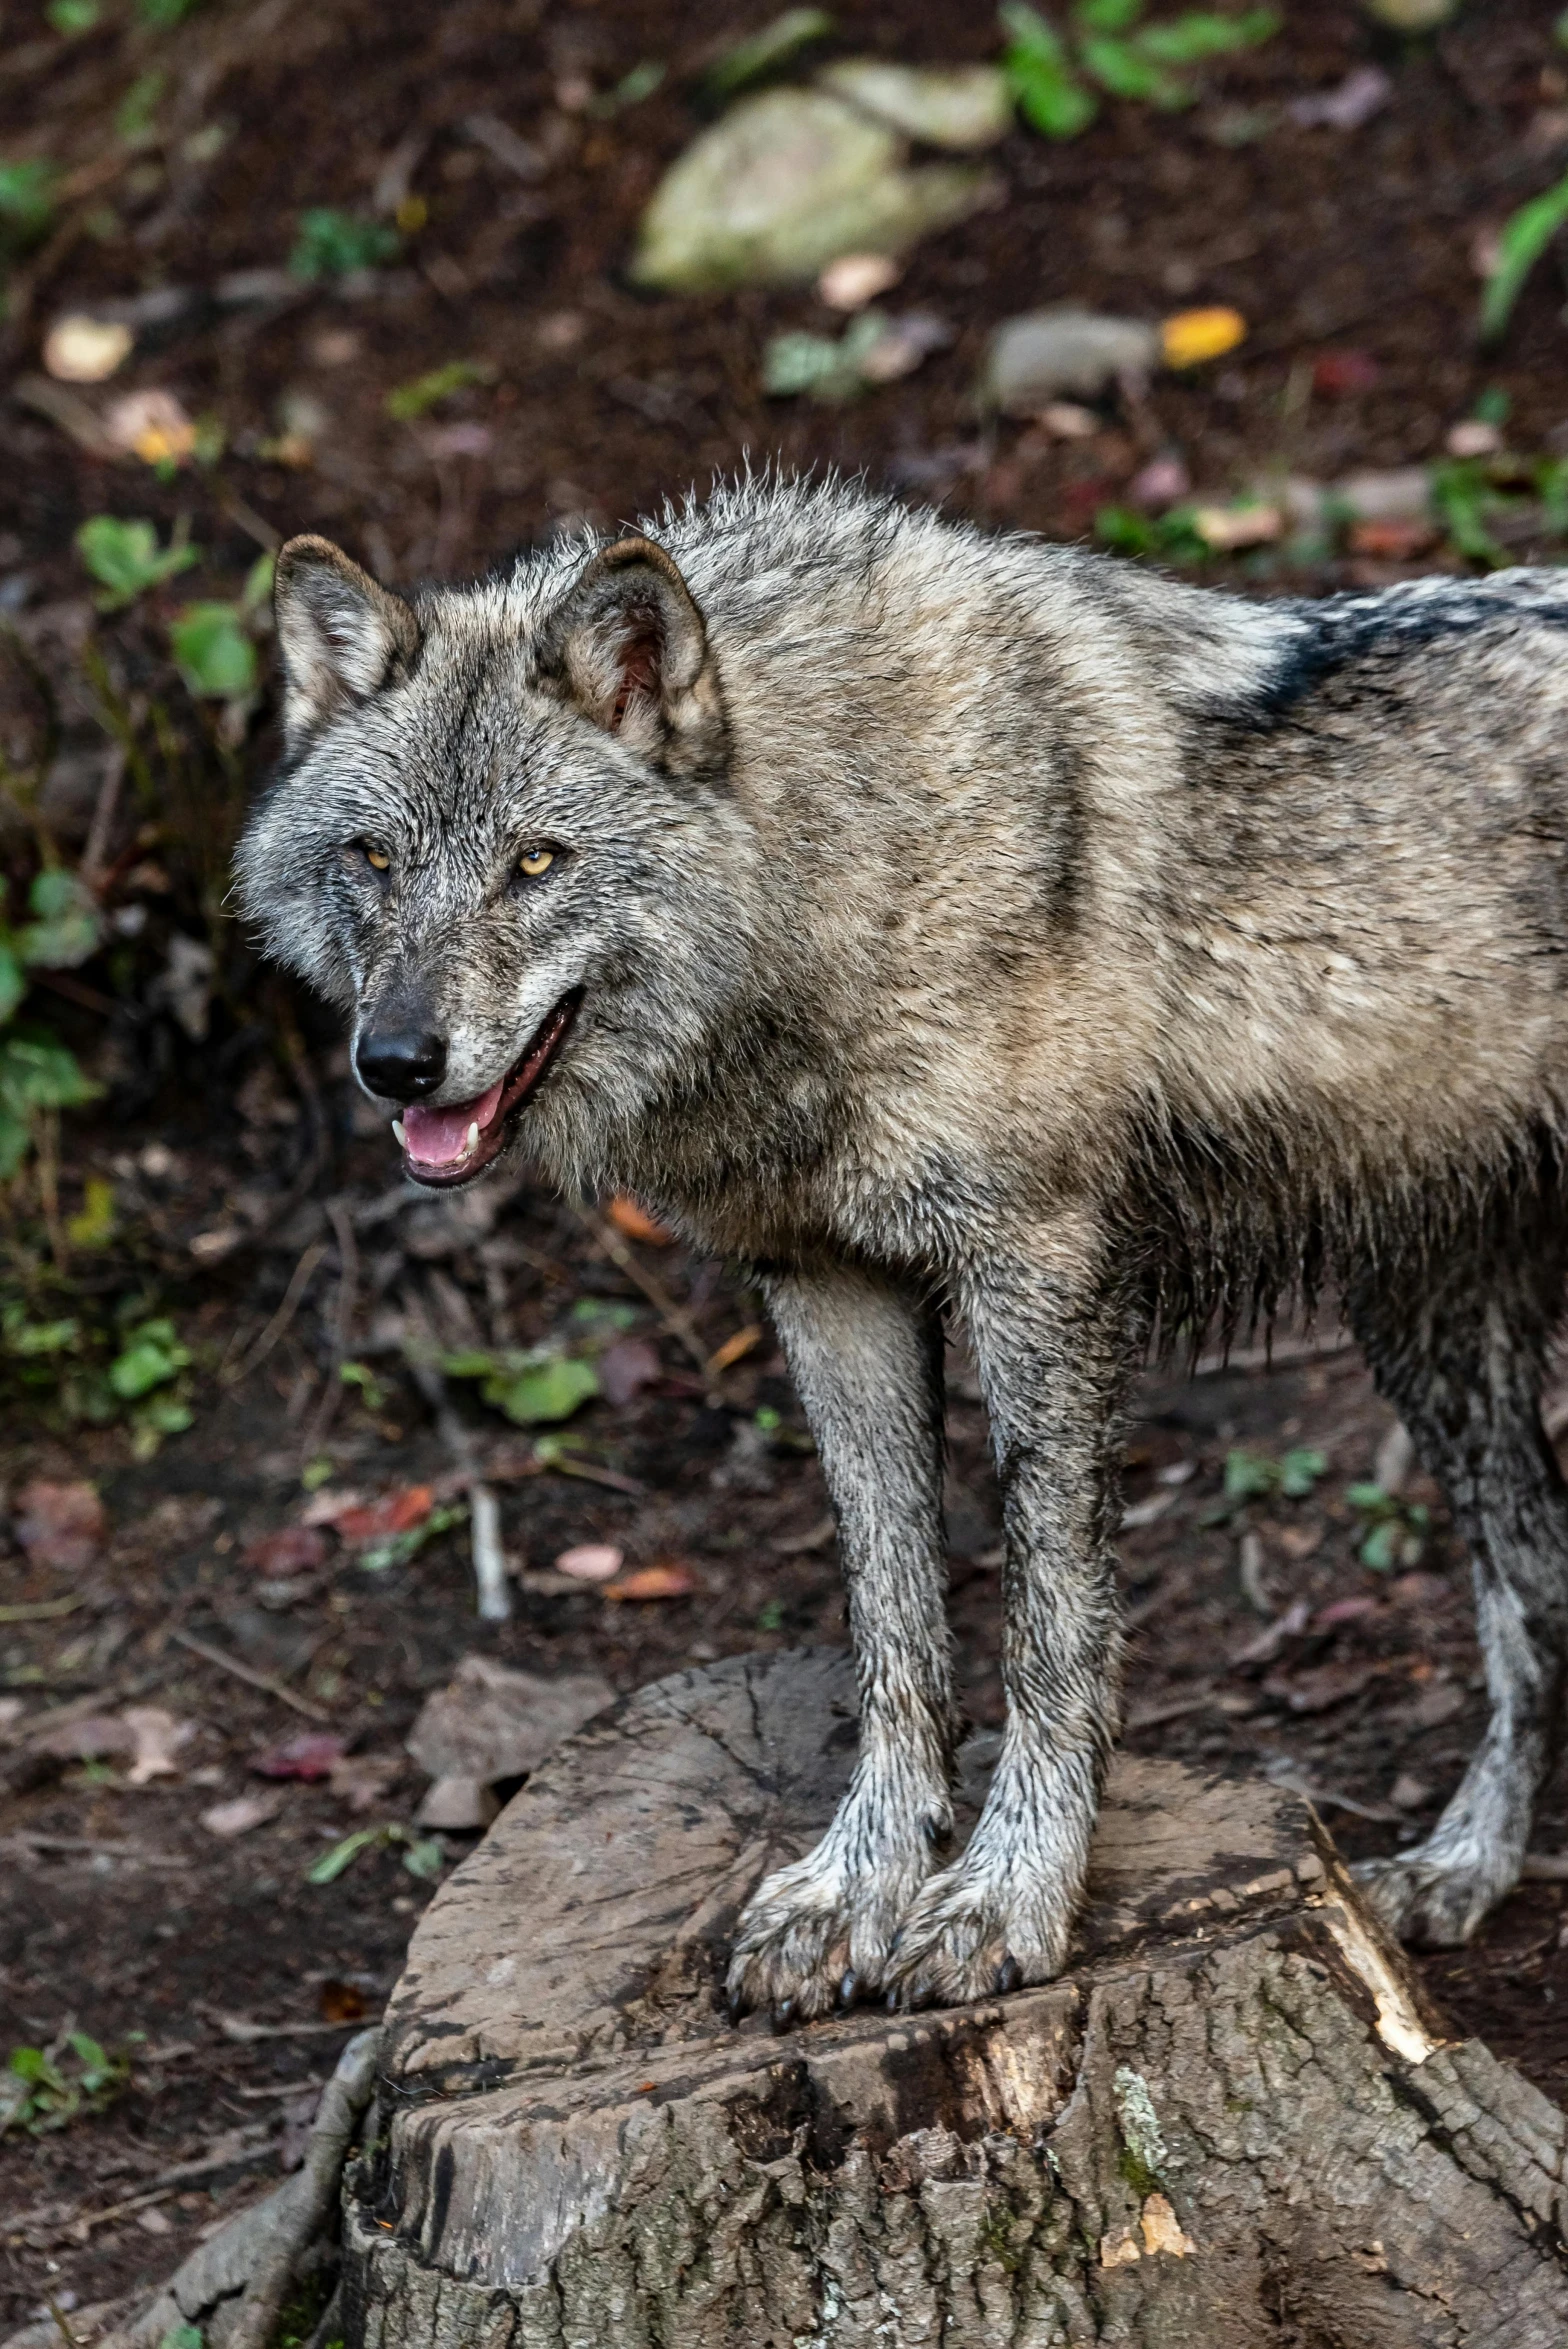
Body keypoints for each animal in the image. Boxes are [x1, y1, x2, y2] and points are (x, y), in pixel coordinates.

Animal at [235, 472, 1568, 2020]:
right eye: (374, 859)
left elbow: (1050, 1627)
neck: (856, 860)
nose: (395, 1062)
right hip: (1427, 1333)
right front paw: (856, 1885)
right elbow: (893, 1622)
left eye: (534, 862)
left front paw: (1006, 1895)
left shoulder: (1037, 1273)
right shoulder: (833, 1290)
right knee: (1536, 1588)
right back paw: (1465, 1865)